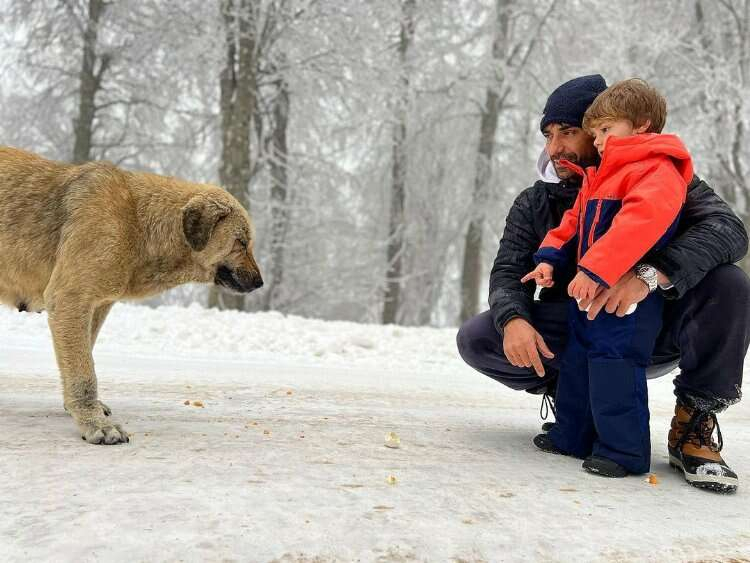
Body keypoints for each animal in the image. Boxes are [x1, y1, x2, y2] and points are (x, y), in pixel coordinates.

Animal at [0, 148, 264, 448]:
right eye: (241, 243)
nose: (260, 282)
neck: (139, 223)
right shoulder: (70, 299)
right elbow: (84, 373)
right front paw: (95, 423)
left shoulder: (97, 306)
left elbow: (83, 356)